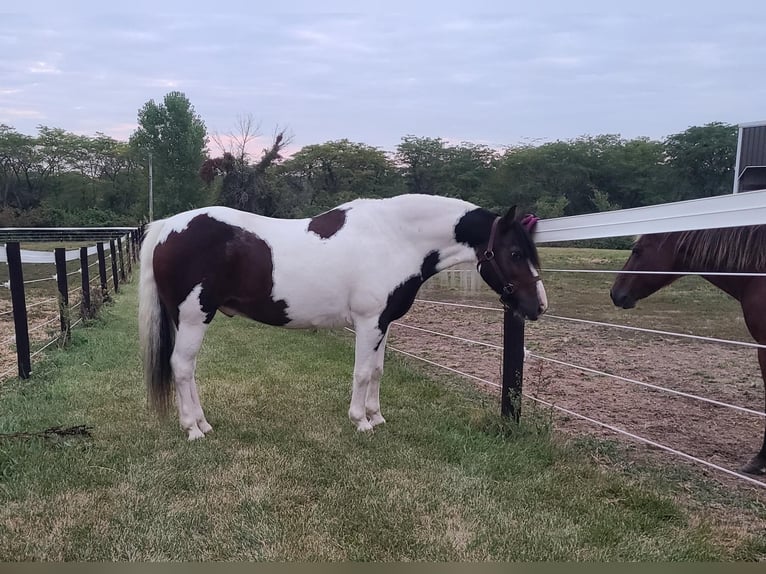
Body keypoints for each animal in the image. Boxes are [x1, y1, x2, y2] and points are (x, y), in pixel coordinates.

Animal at [141, 195, 548, 440]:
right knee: (182, 367)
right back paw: (193, 429)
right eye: (514, 253)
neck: (395, 238)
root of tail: (167, 226)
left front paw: (377, 416)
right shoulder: (368, 322)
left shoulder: (384, 323)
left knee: (186, 368)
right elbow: (363, 371)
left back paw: (203, 424)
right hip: (194, 318)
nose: (539, 306)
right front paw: (361, 422)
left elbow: (378, 370)